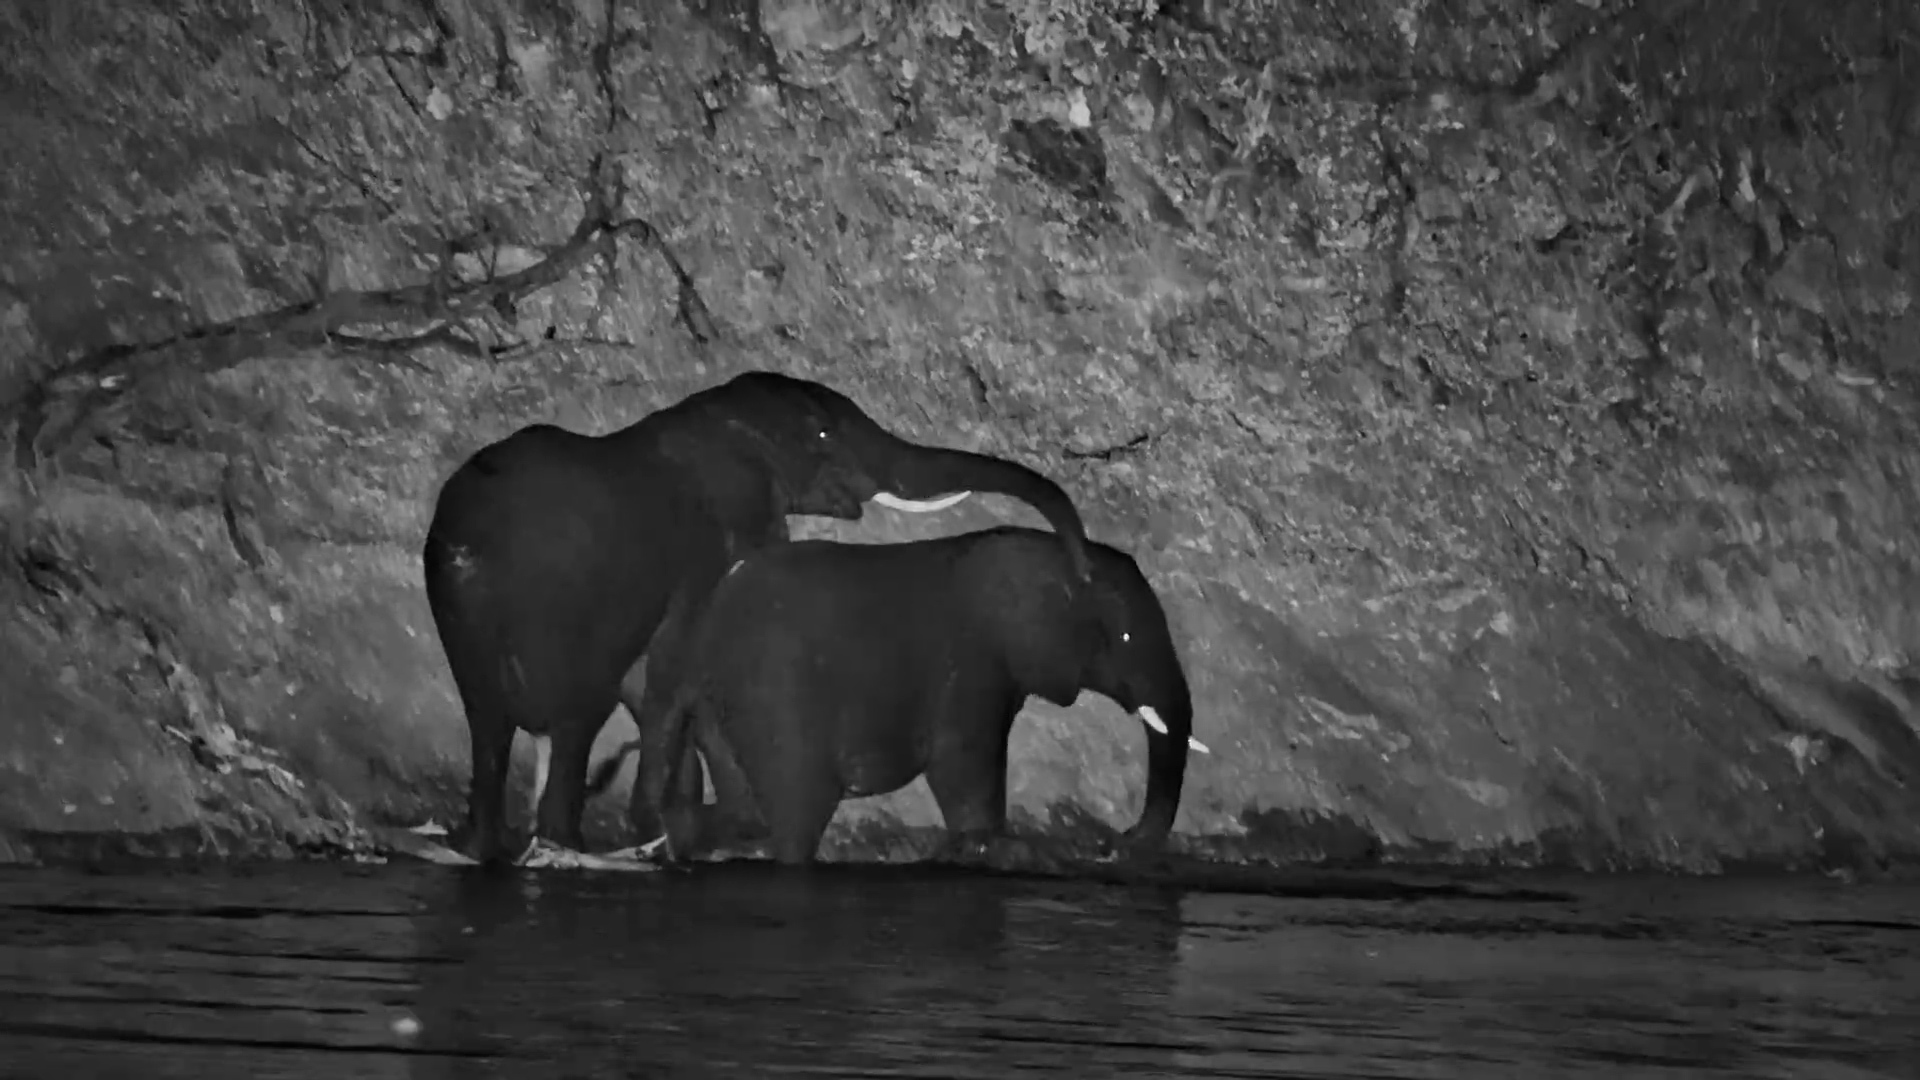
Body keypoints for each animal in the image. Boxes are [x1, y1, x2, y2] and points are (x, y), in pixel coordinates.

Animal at [420, 371, 1094, 867]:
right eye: (822, 433)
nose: (1083, 568)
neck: (715, 417)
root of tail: (469, 550)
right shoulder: (710, 541)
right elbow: (670, 662)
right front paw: (665, 827)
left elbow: (657, 676)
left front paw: (692, 831)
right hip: (562, 610)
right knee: (574, 716)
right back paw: (564, 846)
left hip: (458, 612)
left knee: (486, 719)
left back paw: (480, 847)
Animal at [630, 525, 1209, 867]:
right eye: (1125, 636)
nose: (1116, 842)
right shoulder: (973, 660)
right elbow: (962, 761)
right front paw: (992, 845)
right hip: (773, 698)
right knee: (799, 808)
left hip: (721, 706)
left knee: (743, 802)